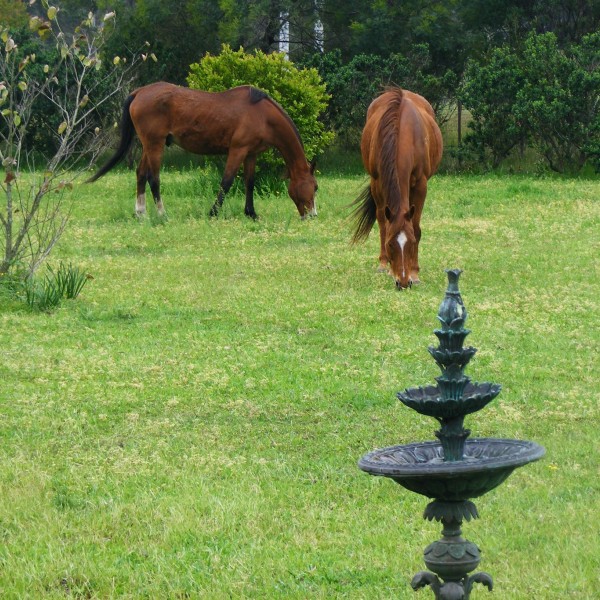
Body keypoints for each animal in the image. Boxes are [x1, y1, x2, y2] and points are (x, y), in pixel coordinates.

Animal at [88, 81, 318, 219]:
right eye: (315, 187)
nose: (312, 215)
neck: (262, 114)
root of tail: (139, 92)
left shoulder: (251, 154)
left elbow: (249, 183)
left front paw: (251, 213)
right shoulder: (237, 150)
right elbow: (226, 182)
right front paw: (213, 213)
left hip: (148, 145)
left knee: (141, 174)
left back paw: (141, 213)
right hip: (155, 145)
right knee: (153, 178)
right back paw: (162, 214)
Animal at [350, 87, 442, 290]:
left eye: (411, 243)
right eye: (391, 244)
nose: (403, 282)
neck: (404, 135)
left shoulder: (421, 184)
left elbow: (416, 227)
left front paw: (415, 272)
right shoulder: (378, 181)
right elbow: (384, 224)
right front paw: (387, 266)